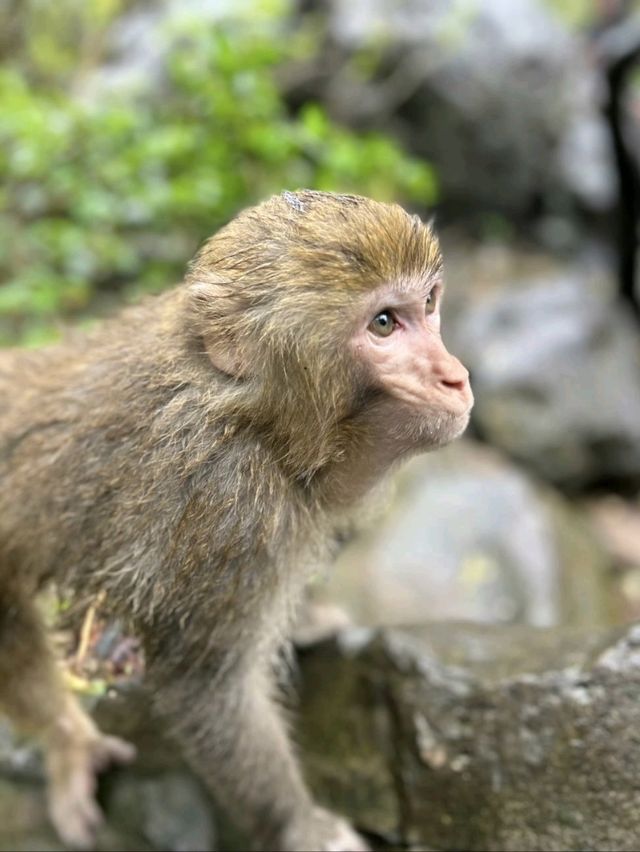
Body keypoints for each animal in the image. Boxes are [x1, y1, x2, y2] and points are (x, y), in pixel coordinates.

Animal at [0, 193, 470, 852]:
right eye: (383, 324)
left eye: (428, 304)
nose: (455, 377)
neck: (255, 419)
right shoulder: (227, 508)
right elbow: (207, 686)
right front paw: (299, 823)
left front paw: (306, 618)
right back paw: (66, 741)